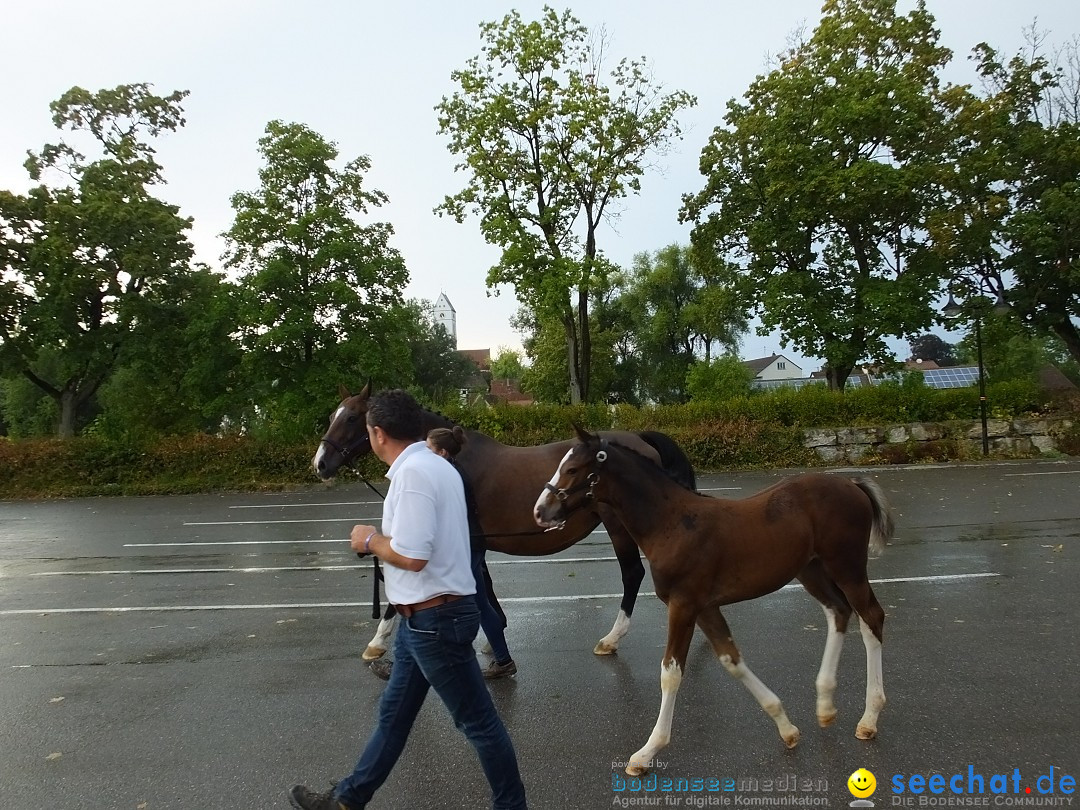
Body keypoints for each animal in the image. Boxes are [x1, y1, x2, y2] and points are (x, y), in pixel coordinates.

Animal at [315, 384, 695, 660]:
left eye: (352, 418)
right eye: (333, 414)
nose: (320, 463)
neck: (452, 458)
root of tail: (640, 438)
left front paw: (377, 642)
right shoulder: (474, 544)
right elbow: (484, 585)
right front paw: (493, 635)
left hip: (620, 526)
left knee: (632, 574)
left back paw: (612, 638)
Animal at [531, 427, 894, 777]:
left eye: (573, 469)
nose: (539, 511)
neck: (672, 523)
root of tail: (852, 483)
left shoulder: (683, 605)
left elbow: (671, 672)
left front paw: (646, 753)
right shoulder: (705, 607)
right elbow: (731, 659)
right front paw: (786, 727)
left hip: (847, 567)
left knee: (871, 617)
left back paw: (869, 718)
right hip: (812, 570)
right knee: (839, 611)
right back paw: (825, 705)